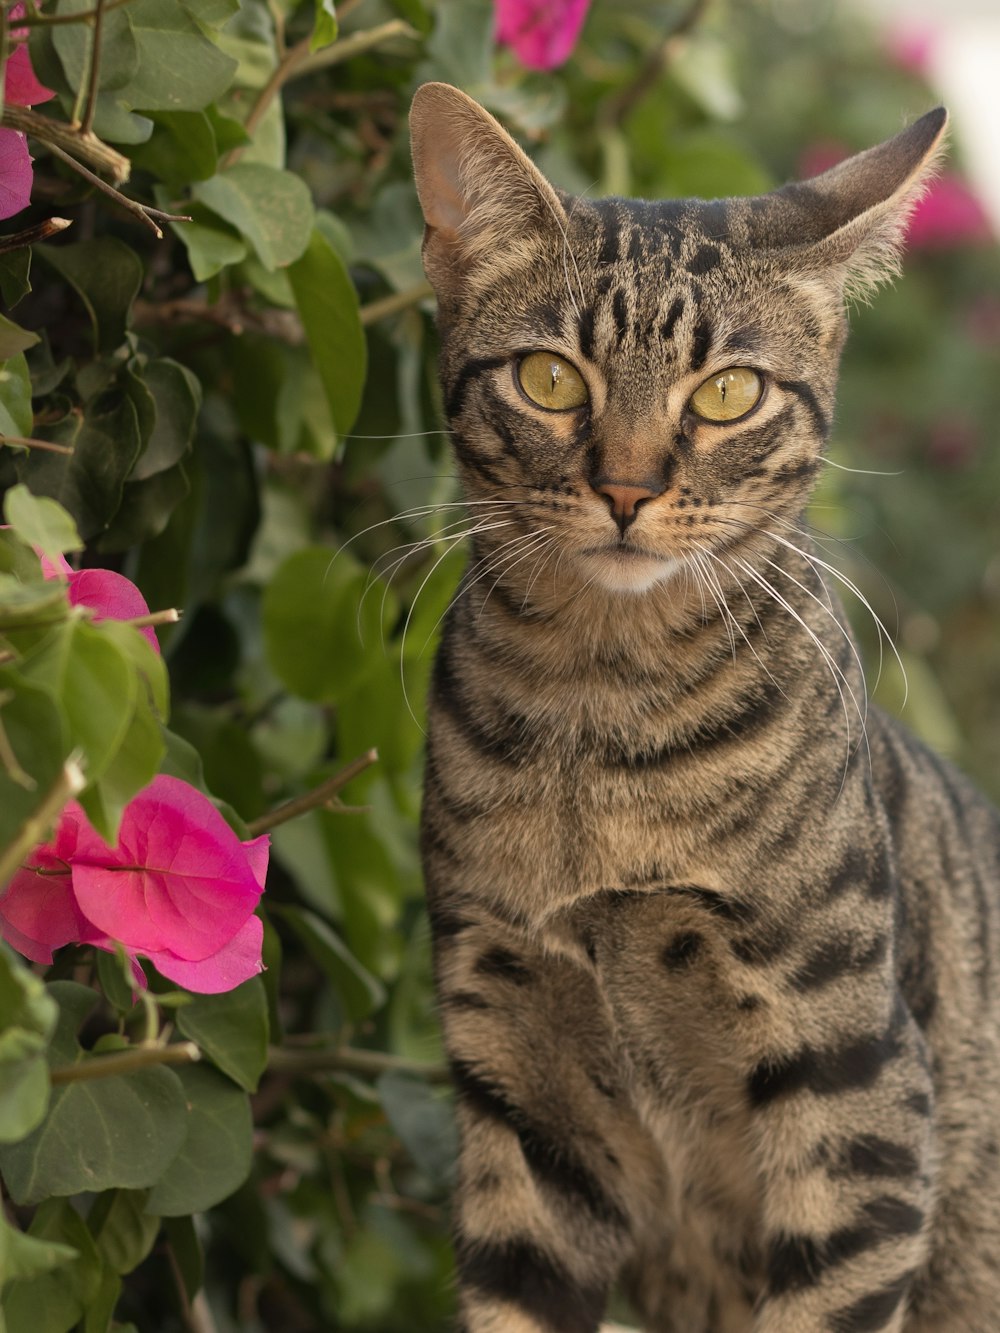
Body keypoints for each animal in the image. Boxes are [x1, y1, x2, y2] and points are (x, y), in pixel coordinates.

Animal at [408, 85, 1000, 1333]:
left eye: (727, 393)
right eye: (550, 378)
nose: (627, 487)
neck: (596, 719)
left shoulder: (858, 1089)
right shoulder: (522, 1086)